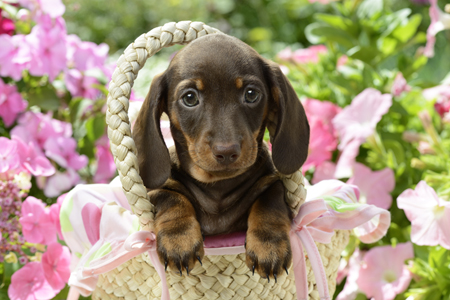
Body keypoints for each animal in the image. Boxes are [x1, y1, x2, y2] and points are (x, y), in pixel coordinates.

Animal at [133, 33, 310, 282]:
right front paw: (179, 238)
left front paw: (268, 244)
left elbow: (270, 201)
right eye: (189, 98)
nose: (226, 151)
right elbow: (171, 197)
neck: (217, 187)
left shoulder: (273, 182)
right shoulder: (156, 191)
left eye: (251, 94)